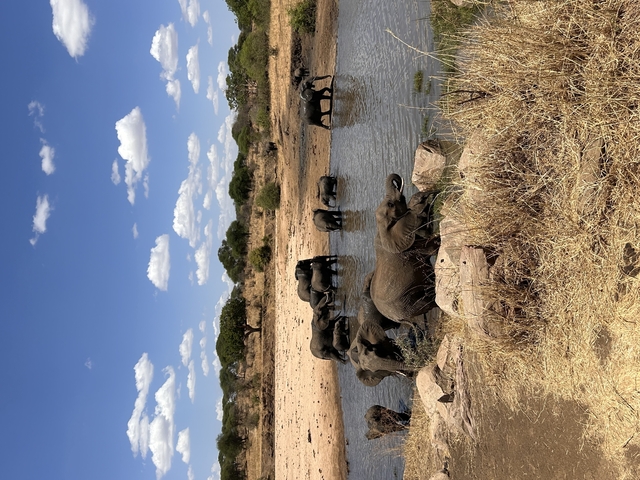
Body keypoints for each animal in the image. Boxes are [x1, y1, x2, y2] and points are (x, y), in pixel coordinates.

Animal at [369, 174, 440, 322]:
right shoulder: (410, 249)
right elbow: (430, 247)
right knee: (425, 302)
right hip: (404, 304)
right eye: (391, 204)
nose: (397, 182)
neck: (381, 229)